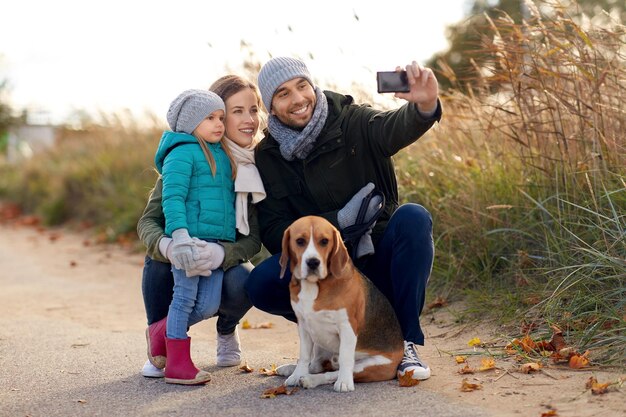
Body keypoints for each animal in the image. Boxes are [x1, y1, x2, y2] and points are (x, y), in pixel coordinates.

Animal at [280, 214, 404, 390]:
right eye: (300, 241)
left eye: (324, 241)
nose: (313, 262)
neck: (315, 286)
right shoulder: (303, 324)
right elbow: (304, 356)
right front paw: (296, 375)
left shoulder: (347, 326)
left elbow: (346, 358)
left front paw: (344, 382)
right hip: (319, 342)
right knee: (315, 364)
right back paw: (292, 369)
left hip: (370, 365)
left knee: (334, 372)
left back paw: (313, 380)